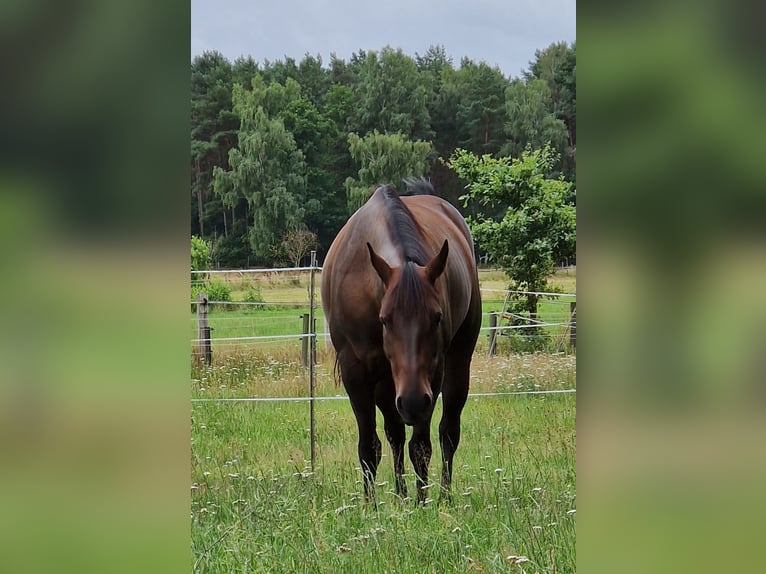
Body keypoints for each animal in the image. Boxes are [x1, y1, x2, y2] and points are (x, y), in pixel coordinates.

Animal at [321, 179, 482, 503]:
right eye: (384, 319)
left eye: (436, 317)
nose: (412, 402)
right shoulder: (355, 373)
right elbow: (370, 447)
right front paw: (371, 506)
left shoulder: (431, 377)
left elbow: (420, 447)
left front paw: (422, 504)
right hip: (386, 384)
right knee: (394, 434)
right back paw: (400, 496)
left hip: (457, 362)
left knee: (448, 432)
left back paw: (443, 497)